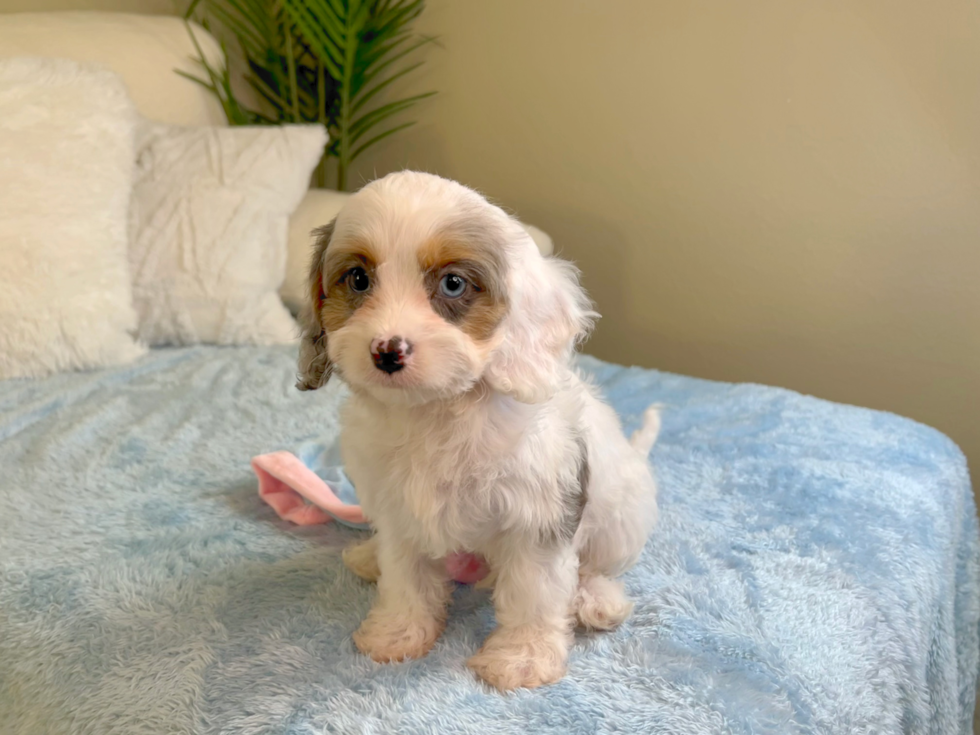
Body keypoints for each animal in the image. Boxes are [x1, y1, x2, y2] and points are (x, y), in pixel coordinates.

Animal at [296, 171, 660, 688]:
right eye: (359, 279)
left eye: (453, 284)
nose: (387, 351)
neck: (438, 412)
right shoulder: (399, 509)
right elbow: (406, 576)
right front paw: (398, 633)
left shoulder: (539, 516)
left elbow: (535, 592)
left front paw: (522, 658)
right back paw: (369, 555)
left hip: (619, 519)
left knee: (597, 565)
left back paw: (596, 599)